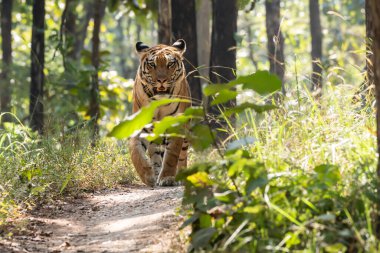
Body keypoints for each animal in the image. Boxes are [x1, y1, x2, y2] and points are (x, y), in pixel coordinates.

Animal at [129, 39, 191, 186]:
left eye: (170, 64)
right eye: (152, 64)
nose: (161, 80)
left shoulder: (176, 125)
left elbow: (172, 155)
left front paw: (167, 178)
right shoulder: (140, 127)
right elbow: (136, 153)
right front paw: (148, 176)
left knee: (182, 155)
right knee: (155, 153)